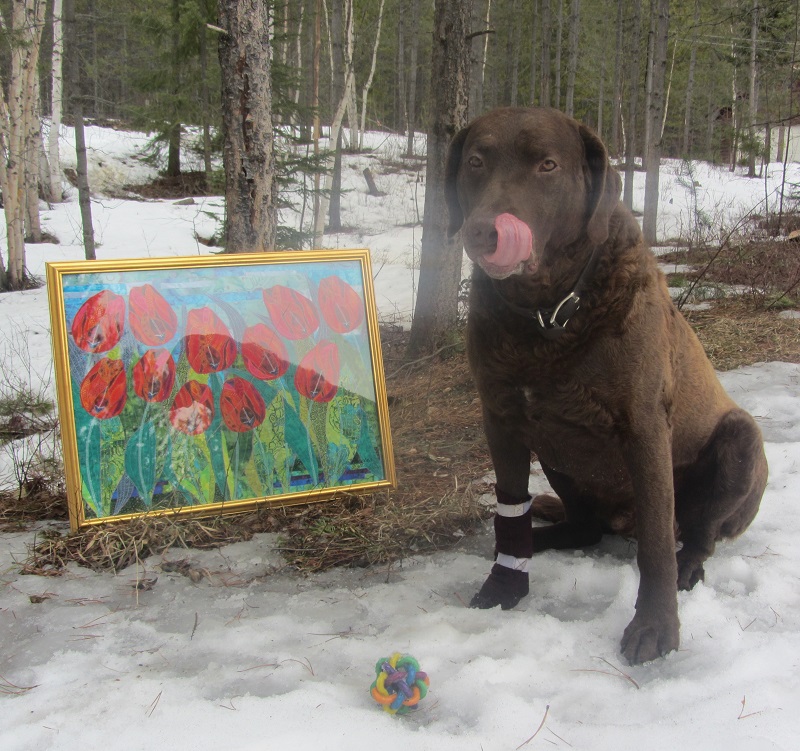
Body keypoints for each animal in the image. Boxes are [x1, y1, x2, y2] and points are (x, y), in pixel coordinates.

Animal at [446, 107, 768, 664]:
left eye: (548, 165)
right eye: (476, 162)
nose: (484, 231)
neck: (548, 315)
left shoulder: (643, 426)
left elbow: (657, 544)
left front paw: (656, 626)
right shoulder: (502, 417)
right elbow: (509, 510)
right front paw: (504, 587)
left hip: (741, 440)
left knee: (697, 532)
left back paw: (689, 564)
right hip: (556, 450)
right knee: (584, 524)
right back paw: (542, 534)